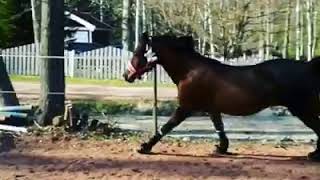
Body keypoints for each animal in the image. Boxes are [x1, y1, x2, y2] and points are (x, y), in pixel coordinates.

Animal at [123, 32, 320, 160]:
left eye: (137, 53)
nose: (126, 76)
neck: (189, 71)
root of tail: (307, 66)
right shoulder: (212, 108)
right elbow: (219, 127)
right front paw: (221, 148)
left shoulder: (186, 107)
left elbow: (166, 127)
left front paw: (144, 147)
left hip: (302, 108)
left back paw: (315, 155)